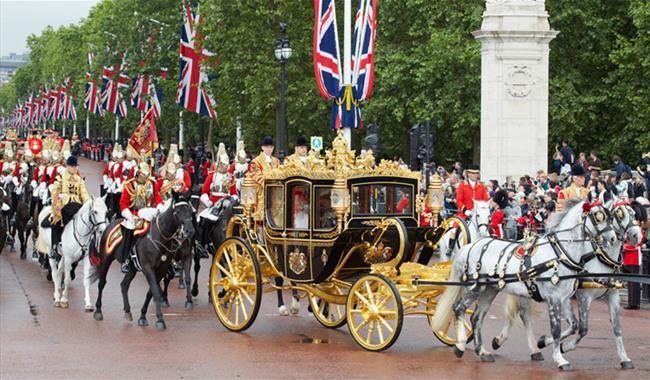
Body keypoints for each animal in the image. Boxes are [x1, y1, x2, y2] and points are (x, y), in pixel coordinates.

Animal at [90, 199, 194, 330]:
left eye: (190, 211)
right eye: (178, 212)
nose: (189, 232)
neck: (159, 238)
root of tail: (110, 224)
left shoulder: (163, 268)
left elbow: (151, 292)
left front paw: (143, 317)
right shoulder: (148, 269)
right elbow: (155, 290)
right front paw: (160, 319)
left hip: (132, 268)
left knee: (124, 285)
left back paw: (127, 311)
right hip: (106, 260)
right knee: (102, 283)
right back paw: (98, 311)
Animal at [432, 199, 616, 372]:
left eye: (610, 217)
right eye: (598, 217)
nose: (613, 238)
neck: (560, 254)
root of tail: (470, 246)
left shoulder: (564, 299)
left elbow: (573, 325)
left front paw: (544, 342)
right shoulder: (553, 298)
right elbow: (556, 329)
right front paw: (560, 359)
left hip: (490, 290)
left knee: (476, 317)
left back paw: (482, 352)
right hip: (475, 288)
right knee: (459, 308)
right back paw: (460, 345)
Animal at [494, 194, 640, 370]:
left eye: (633, 212)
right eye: (619, 214)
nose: (637, 236)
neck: (600, 257)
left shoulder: (612, 296)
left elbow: (616, 328)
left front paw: (624, 358)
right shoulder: (583, 296)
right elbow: (582, 328)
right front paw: (561, 346)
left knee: (522, 314)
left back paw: (515, 344)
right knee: (522, 314)